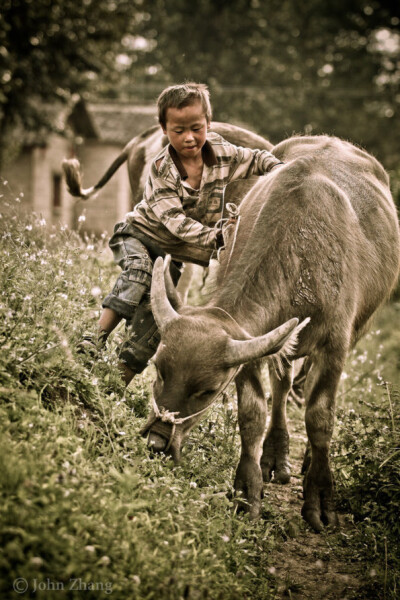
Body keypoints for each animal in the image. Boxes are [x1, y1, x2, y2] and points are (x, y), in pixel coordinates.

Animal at [142, 135, 398, 528]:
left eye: (208, 391)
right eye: (157, 368)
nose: (156, 443)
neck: (303, 251)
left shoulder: (335, 345)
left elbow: (320, 417)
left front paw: (320, 498)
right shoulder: (250, 349)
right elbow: (252, 414)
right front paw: (247, 490)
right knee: (282, 384)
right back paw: (275, 456)